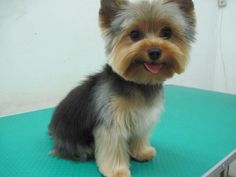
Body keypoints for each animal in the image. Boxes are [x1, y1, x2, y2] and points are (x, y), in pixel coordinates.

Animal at [49, 0, 195, 176]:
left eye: (167, 32)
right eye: (135, 34)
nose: (154, 51)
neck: (139, 83)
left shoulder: (142, 118)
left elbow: (139, 137)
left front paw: (141, 152)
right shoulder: (112, 122)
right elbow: (113, 147)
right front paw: (117, 171)